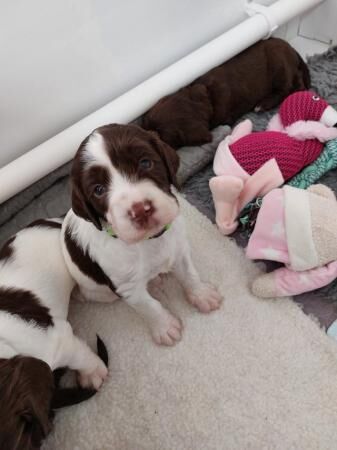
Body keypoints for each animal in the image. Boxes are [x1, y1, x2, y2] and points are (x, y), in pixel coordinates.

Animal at [61, 123, 222, 344]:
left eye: (145, 163)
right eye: (98, 190)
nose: (140, 210)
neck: (148, 241)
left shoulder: (180, 251)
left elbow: (190, 274)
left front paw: (202, 295)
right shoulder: (128, 288)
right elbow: (149, 307)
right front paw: (165, 328)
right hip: (98, 292)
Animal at [140, 37, 308, 148]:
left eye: (162, 137)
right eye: (144, 124)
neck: (207, 98)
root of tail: (291, 48)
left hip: (279, 66)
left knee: (288, 87)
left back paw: (264, 103)